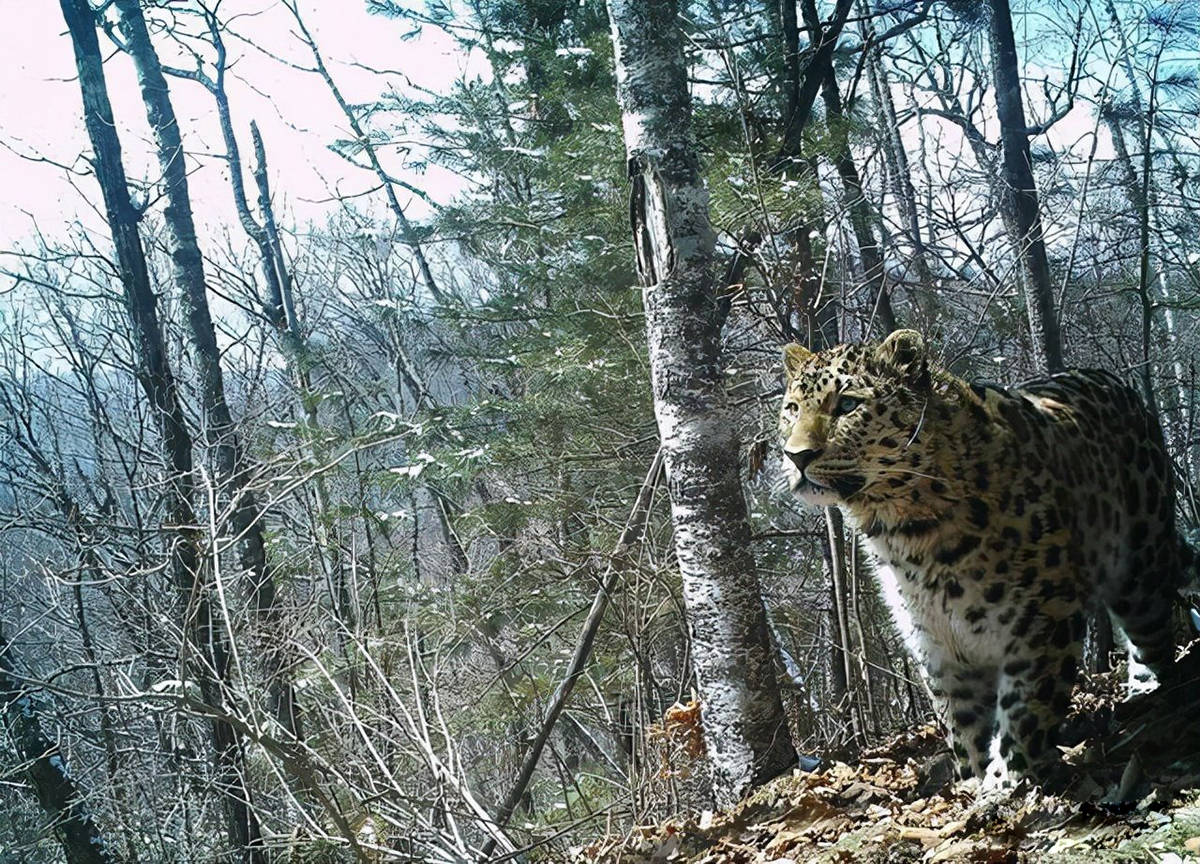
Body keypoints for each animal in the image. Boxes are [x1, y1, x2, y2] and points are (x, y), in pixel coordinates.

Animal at [777, 328, 1180, 782]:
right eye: (792, 409)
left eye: (848, 404)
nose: (796, 456)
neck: (905, 532)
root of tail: (1111, 380)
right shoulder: (935, 642)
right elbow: (963, 723)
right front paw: (972, 778)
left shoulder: (1042, 617)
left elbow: (1023, 711)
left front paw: (1004, 782)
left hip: (1141, 559)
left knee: (1152, 632)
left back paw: (1147, 696)